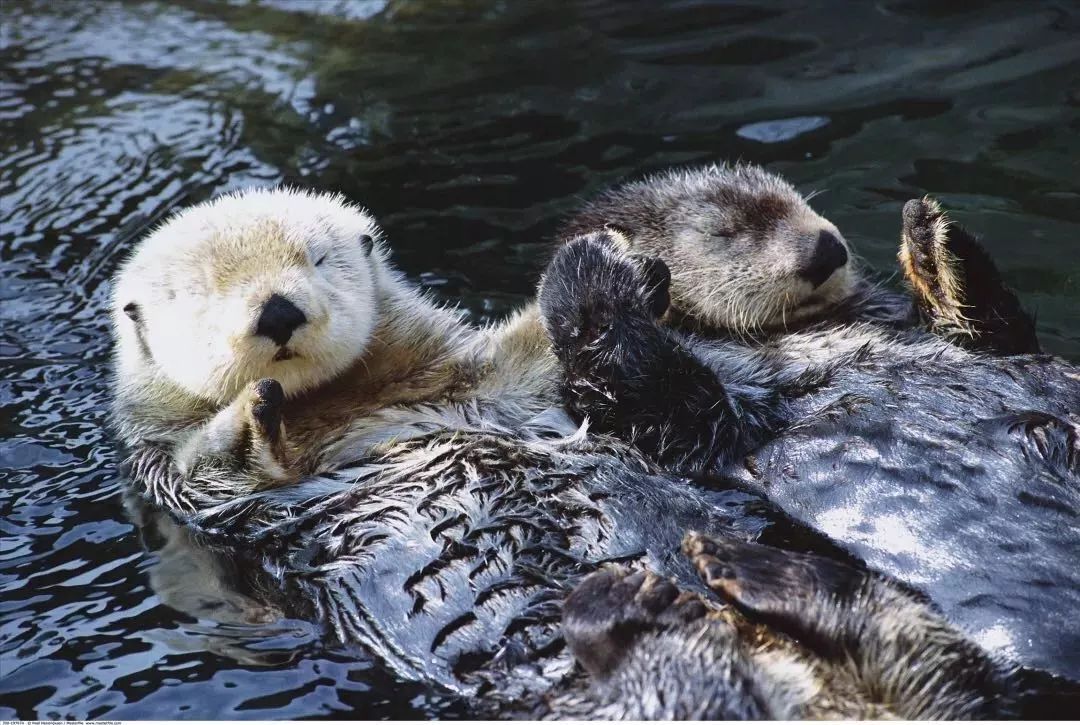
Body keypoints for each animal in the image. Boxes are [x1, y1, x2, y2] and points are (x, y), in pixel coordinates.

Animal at [113, 189, 1023, 721]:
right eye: (199, 295)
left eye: (319, 258)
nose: (276, 311)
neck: (359, 406)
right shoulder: (190, 496)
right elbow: (210, 467)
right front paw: (251, 409)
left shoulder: (500, 378)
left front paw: (630, 269)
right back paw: (643, 602)